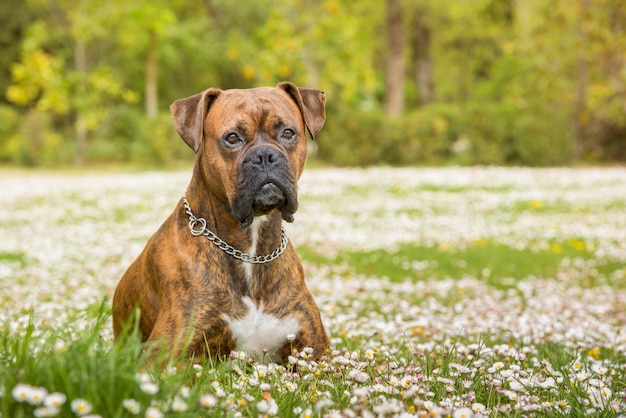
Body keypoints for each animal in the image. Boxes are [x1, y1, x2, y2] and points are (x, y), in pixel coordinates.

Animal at [111, 81, 326, 362]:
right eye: (232, 138)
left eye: (288, 133)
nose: (264, 155)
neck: (251, 251)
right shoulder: (165, 355)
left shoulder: (317, 352)